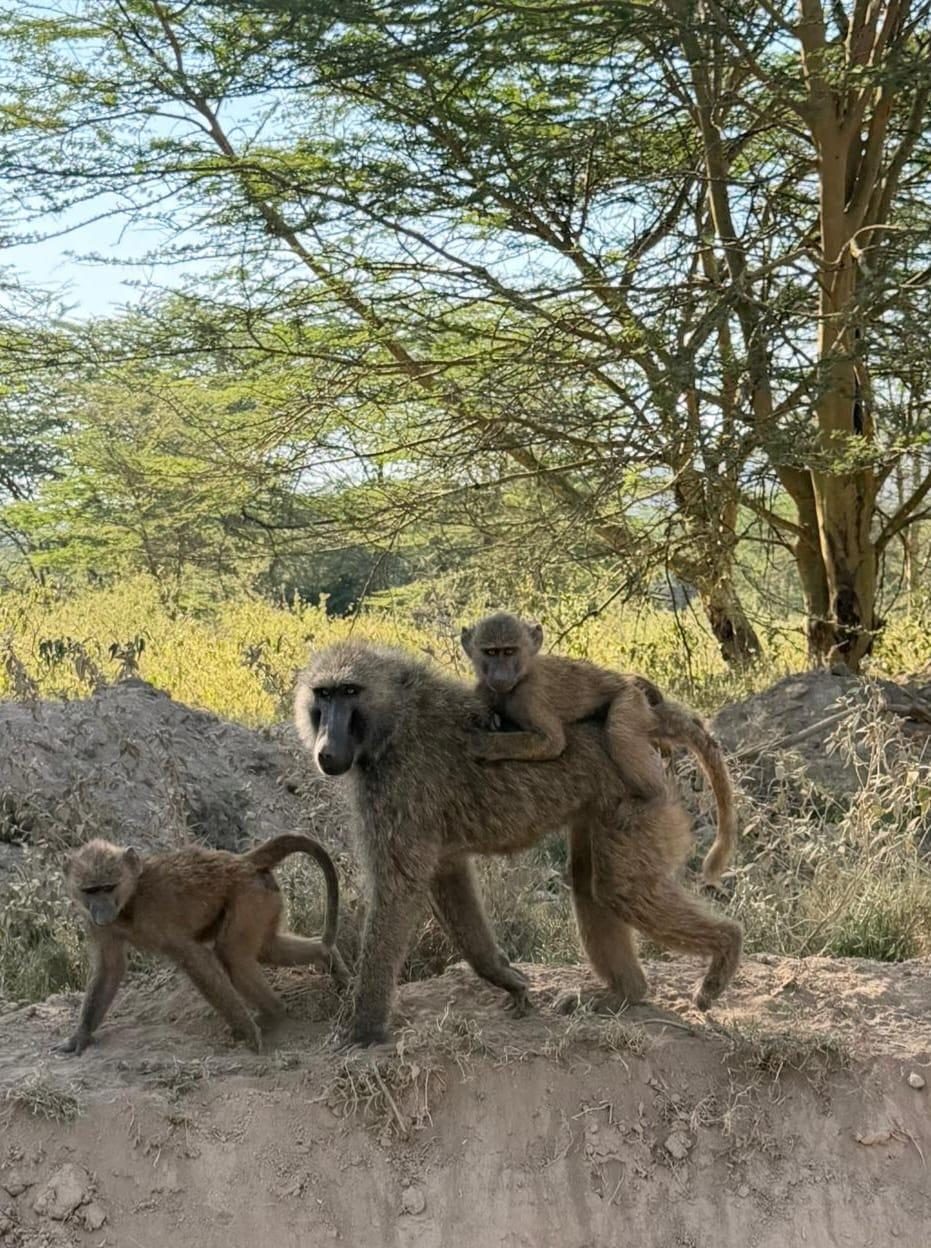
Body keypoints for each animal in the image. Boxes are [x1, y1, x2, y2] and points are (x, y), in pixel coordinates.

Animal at [59, 834, 349, 1055]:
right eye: (90, 891)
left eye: (108, 887)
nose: (101, 912)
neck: (130, 901)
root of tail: (242, 860)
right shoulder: (96, 925)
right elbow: (110, 968)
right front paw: (81, 1035)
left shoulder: (160, 913)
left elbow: (195, 958)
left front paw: (248, 1032)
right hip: (264, 896)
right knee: (267, 949)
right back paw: (325, 957)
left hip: (249, 896)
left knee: (231, 954)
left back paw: (273, 1014)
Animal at [294, 641, 742, 1048]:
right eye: (324, 695)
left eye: (350, 691)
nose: (327, 749)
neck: (397, 719)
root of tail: (647, 718)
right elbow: (448, 876)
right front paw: (504, 977)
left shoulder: (398, 788)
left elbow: (398, 889)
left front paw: (363, 1030)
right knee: (590, 882)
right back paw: (625, 993)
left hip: (637, 800)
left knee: (619, 888)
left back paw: (727, 945)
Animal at [460, 612, 738, 887]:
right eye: (491, 652)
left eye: (509, 651)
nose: (500, 675)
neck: (519, 679)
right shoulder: (483, 690)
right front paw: (489, 720)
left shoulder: (531, 694)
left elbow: (552, 742)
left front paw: (482, 744)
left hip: (630, 701)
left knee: (618, 730)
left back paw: (652, 795)